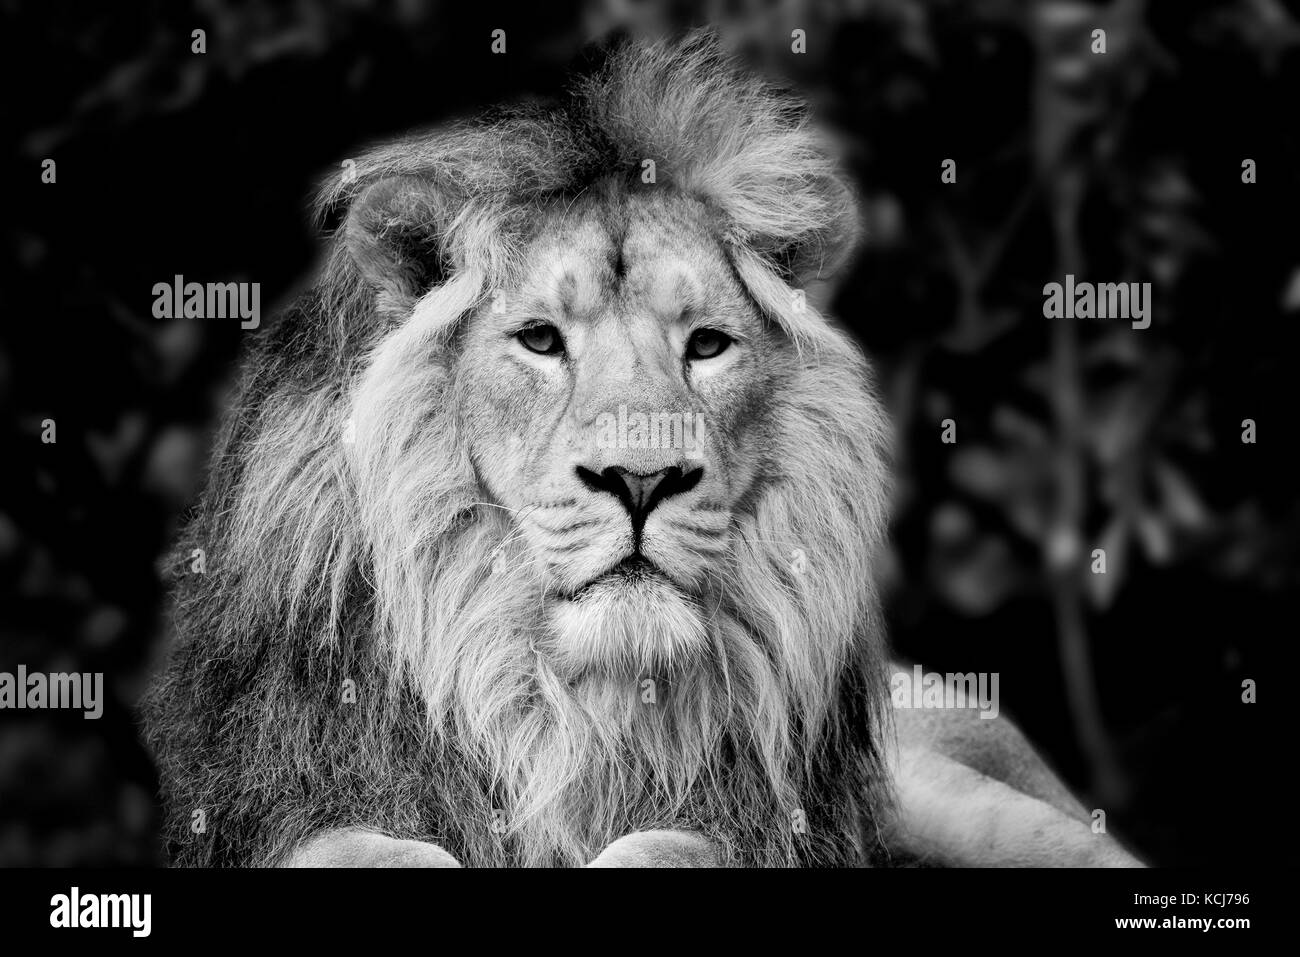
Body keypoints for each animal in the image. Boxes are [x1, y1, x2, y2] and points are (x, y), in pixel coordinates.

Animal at [139, 31, 1138, 868]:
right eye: (540, 340)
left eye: (708, 344)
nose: (642, 479)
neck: (560, 702)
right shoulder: (293, 800)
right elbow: (375, 850)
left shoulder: (764, 823)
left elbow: (667, 845)